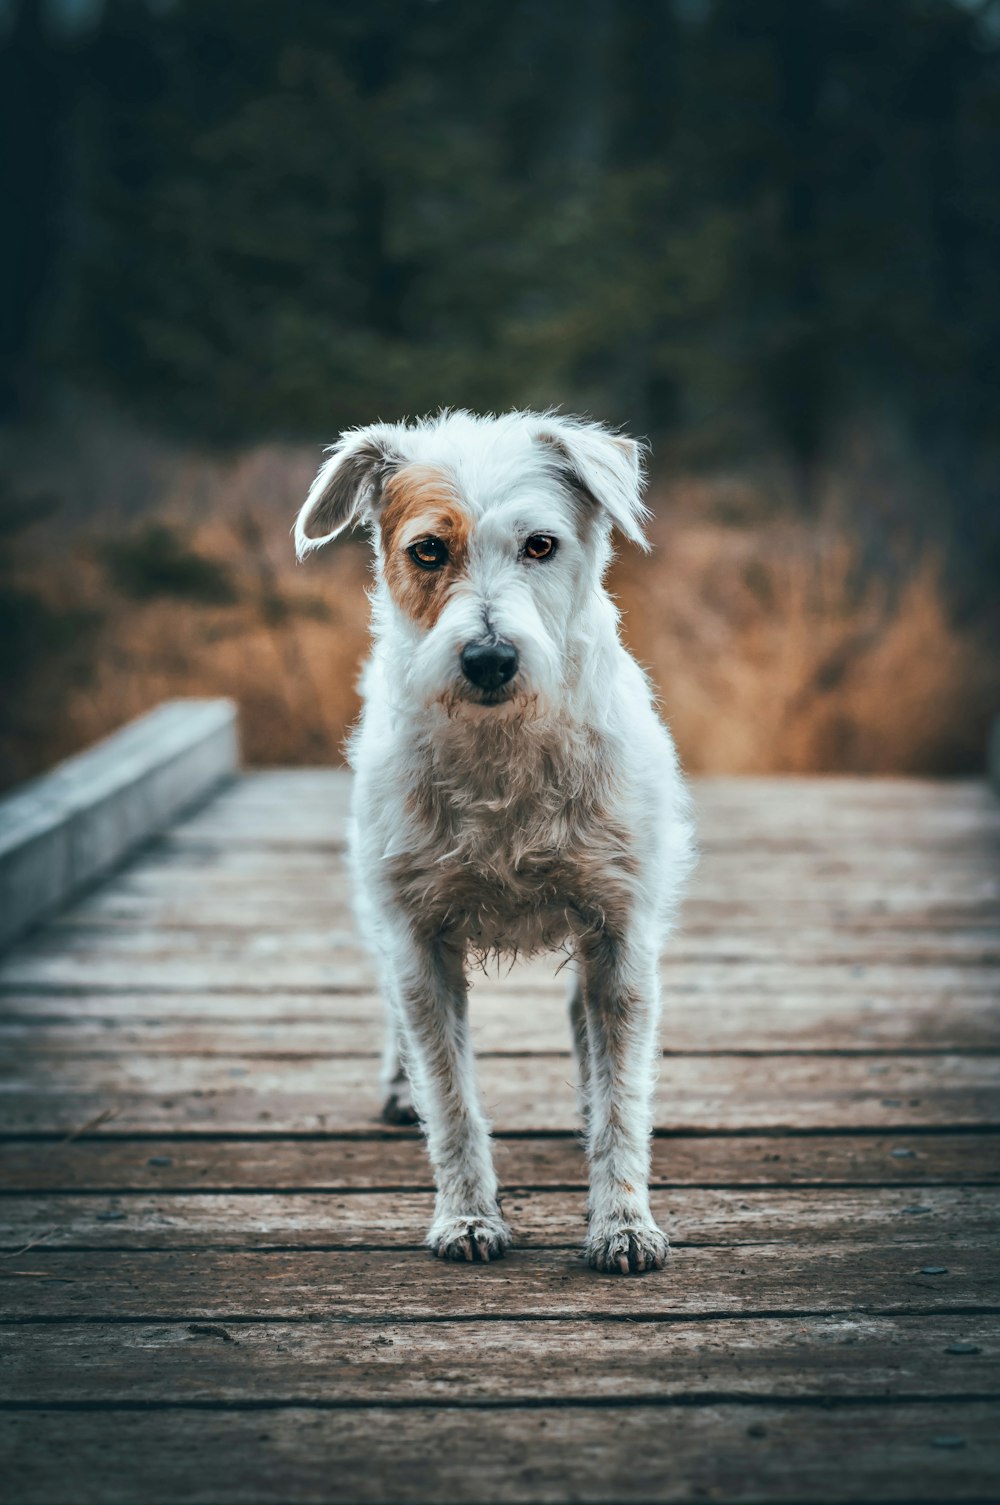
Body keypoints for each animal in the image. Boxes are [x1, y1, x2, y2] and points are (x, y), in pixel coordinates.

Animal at [293, 415, 692, 1282]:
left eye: (540, 545)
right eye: (427, 551)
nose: (488, 657)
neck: (503, 747)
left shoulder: (621, 933)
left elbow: (622, 1101)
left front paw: (623, 1222)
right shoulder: (418, 943)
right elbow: (450, 1098)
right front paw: (468, 1215)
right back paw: (398, 1084)